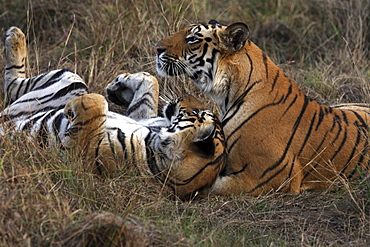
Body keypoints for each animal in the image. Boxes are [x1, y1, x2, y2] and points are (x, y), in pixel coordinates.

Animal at [1, 26, 227, 201]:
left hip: (68, 83)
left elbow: (97, 102)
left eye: (197, 110)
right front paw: (120, 85)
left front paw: (73, 108)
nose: (185, 96)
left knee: (13, 86)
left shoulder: (80, 148)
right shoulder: (144, 117)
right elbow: (150, 82)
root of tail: (5, 121)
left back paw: (15, 36)